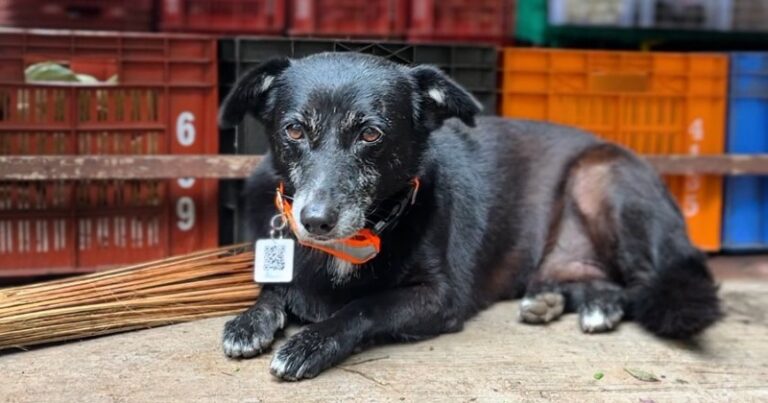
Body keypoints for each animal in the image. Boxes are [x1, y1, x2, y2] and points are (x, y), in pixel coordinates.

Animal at [219, 53, 724, 382]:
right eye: (294, 130)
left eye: (370, 134)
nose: (315, 221)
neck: (350, 245)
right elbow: (272, 291)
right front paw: (249, 321)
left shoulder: (441, 297)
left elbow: (364, 307)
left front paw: (311, 343)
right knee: (596, 282)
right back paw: (561, 301)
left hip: (602, 173)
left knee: (643, 284)